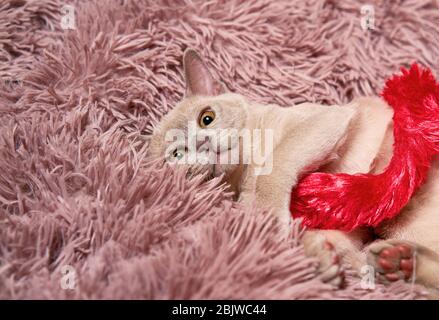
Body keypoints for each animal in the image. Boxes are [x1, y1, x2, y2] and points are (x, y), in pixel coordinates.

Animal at [149, 48, 439, 296]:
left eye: (206, 118)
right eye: (177, 155)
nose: (202, 143)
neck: (247, 172)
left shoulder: (325, 121)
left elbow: (276, 165)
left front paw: (270, 220)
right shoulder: (348, 225)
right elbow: (325, 241)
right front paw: (323, 260)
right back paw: (397, 262)